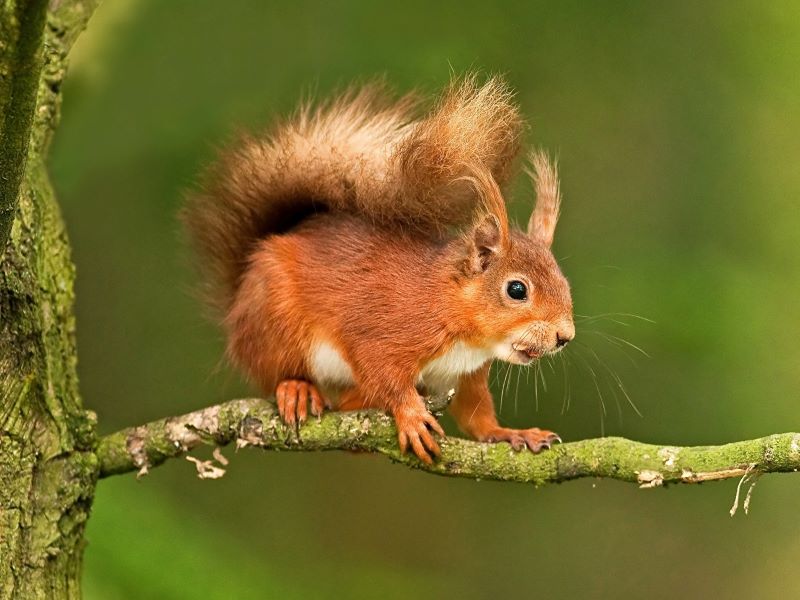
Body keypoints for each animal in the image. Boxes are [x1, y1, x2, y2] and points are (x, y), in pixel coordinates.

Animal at [184, 75, 576, 464]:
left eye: (564, 283)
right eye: (516, 290)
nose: (565, 336)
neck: (455, 314)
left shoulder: (463, 376)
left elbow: (476, 417)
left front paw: (512, 433)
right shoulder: (386, 332)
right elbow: (383, 374)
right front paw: (411, 415)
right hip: (275, 322)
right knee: (279, 372)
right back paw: (297, 388)